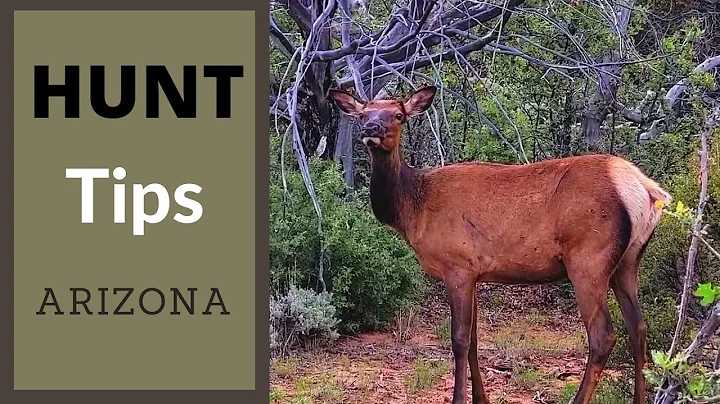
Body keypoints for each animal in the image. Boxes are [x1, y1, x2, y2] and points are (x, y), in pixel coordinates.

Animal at [329, 85, 671, 404]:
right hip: (628, 261)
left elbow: (459, 340)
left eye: (398, 115)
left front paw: (459, 399)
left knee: (603, 336)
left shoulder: (457, 265)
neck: (414, 208)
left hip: (589, 259)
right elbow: (475, 340)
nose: (371, 129)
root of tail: (648, 190)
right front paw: (482, 398)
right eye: (363, 113)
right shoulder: (475, 273)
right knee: (639, 328)